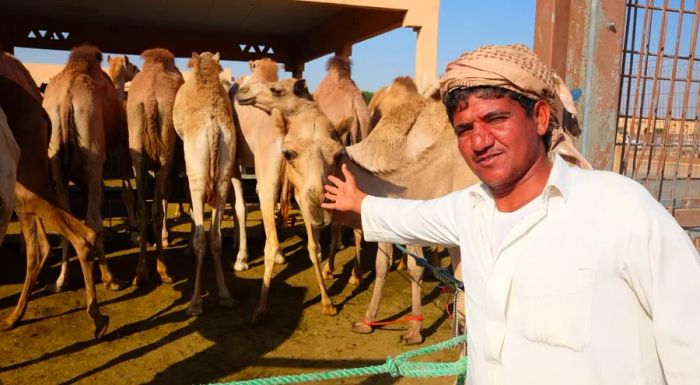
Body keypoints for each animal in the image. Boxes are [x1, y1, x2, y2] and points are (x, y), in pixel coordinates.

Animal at [42, 44, 133, 292]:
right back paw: (111, 279)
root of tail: (66, 99)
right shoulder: (118, 147)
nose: (137, 69)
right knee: (93, 219)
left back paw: (61, 280)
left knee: (66, 220)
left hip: (55, 159)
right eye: (132, 65)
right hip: (92, 146)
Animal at [237, 76, 344, 322]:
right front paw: (327, 301)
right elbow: (312, 245)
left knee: (270, 240)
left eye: (276, 89)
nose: (241, 91)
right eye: (289, 154)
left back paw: (259, 308)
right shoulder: (299, 190)